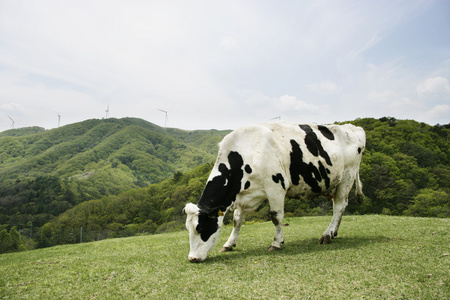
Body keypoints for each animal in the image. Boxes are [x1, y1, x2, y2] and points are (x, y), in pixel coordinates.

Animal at [183, 122, 366, 262]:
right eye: (188, 229)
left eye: (200, 228)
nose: (192, 258)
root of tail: (353, 127)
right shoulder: (241, 195)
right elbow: (237, 221)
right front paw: (229, 244)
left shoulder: (276, 188)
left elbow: (276, 217)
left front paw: (276, 243)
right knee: (339, 205)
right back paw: (334, 233)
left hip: (347, 177)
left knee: (339, 206)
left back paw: (327, 235)